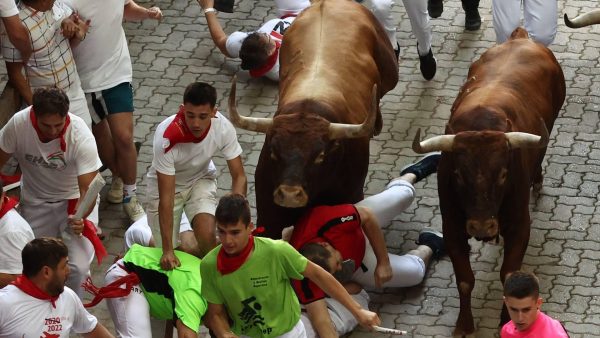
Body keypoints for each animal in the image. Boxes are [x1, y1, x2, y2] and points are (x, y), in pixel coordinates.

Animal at [410, 27, 564, 336]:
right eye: (458, 174)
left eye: (504, 174)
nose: (482, 227)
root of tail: (520, 37)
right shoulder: (452, 227)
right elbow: (464, 280)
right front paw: (463, 324)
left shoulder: (520, 224)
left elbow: (509, 275)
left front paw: (506, 320)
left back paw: (537, 180)